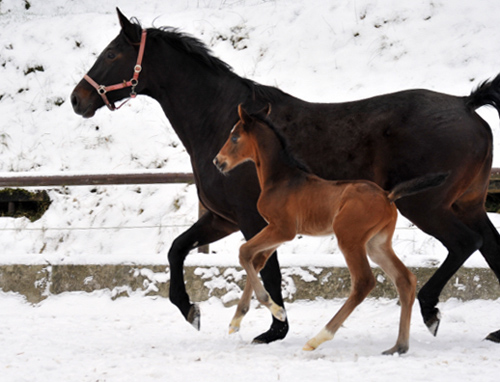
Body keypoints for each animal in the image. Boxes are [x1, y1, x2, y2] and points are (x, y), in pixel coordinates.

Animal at [213, 105, 448, 356]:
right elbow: (256, 261)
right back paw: (399, 346)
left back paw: (318, 338)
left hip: (349, 239)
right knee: (405, 280)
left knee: (364, 282)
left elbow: (244, 252)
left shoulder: (283, 229)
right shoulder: (277, 232)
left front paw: (277, 311)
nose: (218, 161)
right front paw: (236, 321)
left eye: (234, 137)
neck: (280, 180)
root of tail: (387, 195)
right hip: (376, 244)